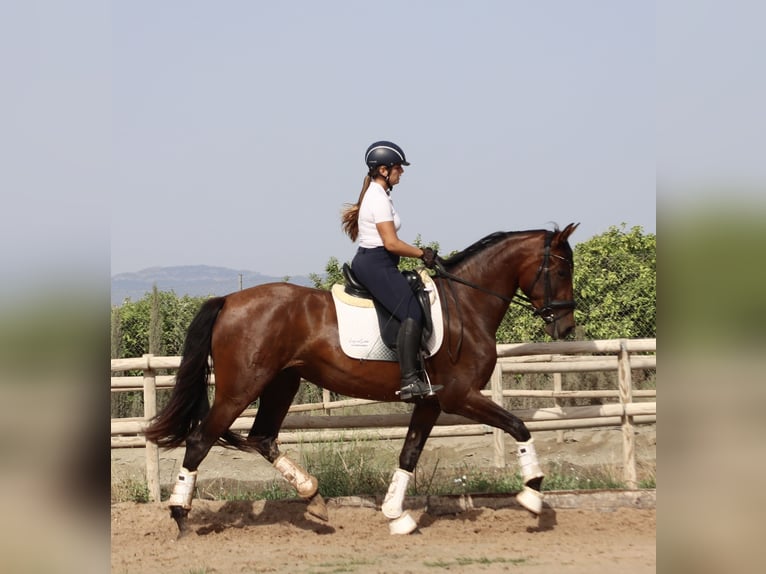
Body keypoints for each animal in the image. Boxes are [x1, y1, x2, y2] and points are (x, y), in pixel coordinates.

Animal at [144, 224, 580, 536]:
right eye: (561, 269)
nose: (566, 326)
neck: (466, 307)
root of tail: (229, 301)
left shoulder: (431, 401)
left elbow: (409, 454)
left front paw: (396, 516)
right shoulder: (459, 396)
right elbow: (518, 426)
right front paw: (532, 495)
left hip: (282, 383)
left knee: (262, 438)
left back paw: (313, 498)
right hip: (240, 389)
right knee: (201, 440)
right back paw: (181, 516)